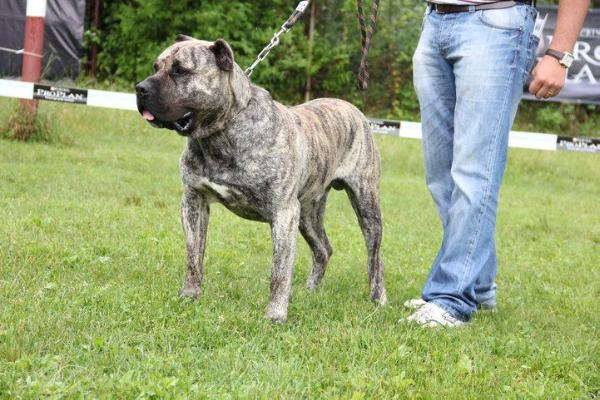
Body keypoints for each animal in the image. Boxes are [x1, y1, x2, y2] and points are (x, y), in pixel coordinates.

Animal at [136, 34, 386, 322]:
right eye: (156, 67)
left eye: (180, 71)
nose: (140, 88)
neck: (221, 133)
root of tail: (352, 108)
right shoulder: (193, 201)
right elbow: (193, 256)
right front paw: (189, 295)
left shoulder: (283, 214)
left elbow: (279, 272)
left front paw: (275, 315)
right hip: (308, 214)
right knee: (323, 248)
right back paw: (310, 290)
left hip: (365, 204)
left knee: (375, 256)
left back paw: (378, 298)